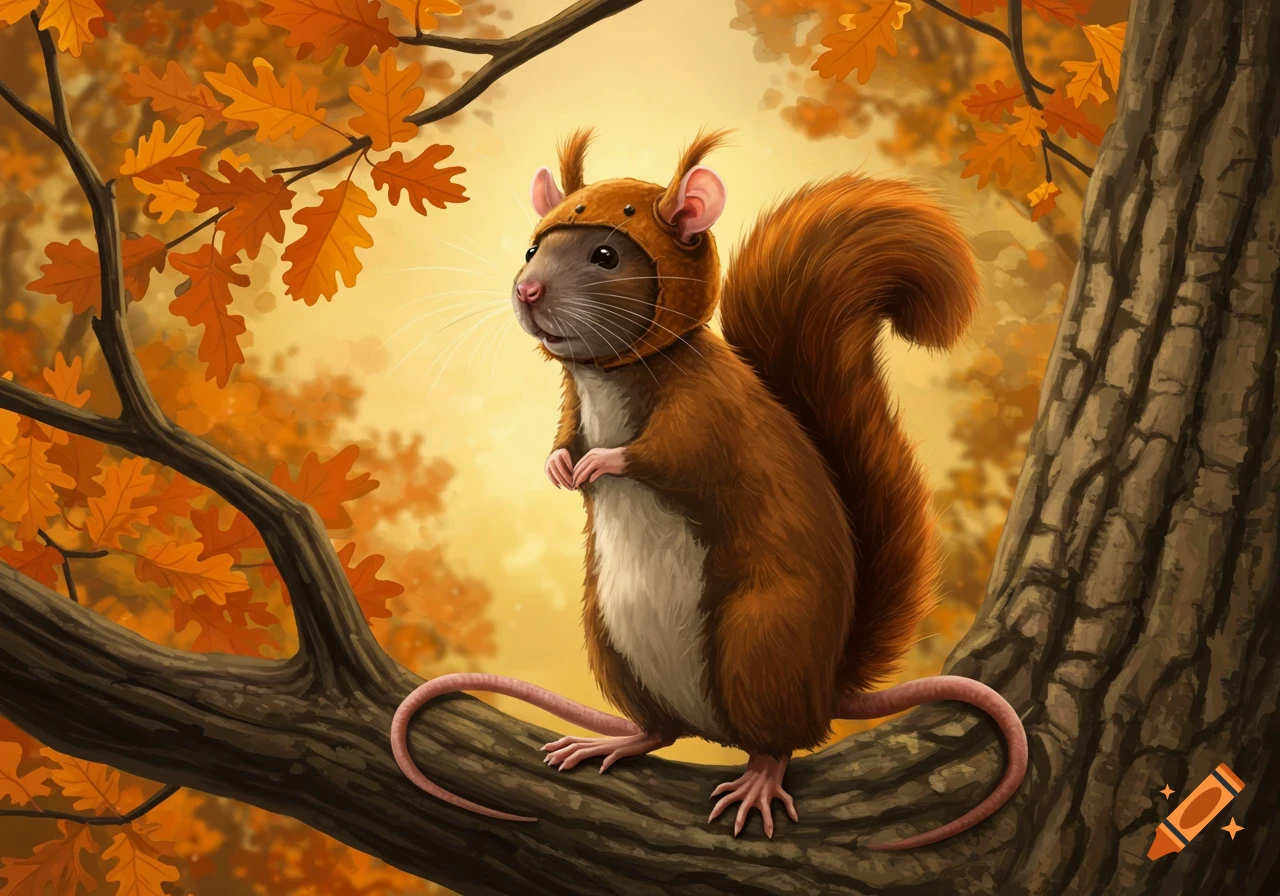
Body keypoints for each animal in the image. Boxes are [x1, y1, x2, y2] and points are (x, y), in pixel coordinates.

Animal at [391, 129, 1028, 849]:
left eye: (606, 255)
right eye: (531, 248)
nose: (526, 289)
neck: (617, 370)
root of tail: (825, 688)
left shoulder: (706, 409)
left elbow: (673, 455)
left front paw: (600, 465)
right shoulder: (574, 405)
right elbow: (563, 434)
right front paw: (558, 467)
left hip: (760, 640)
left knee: (777, 741)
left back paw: (759, 778)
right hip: (612, 645)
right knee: (659, 731)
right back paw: (614, 743)